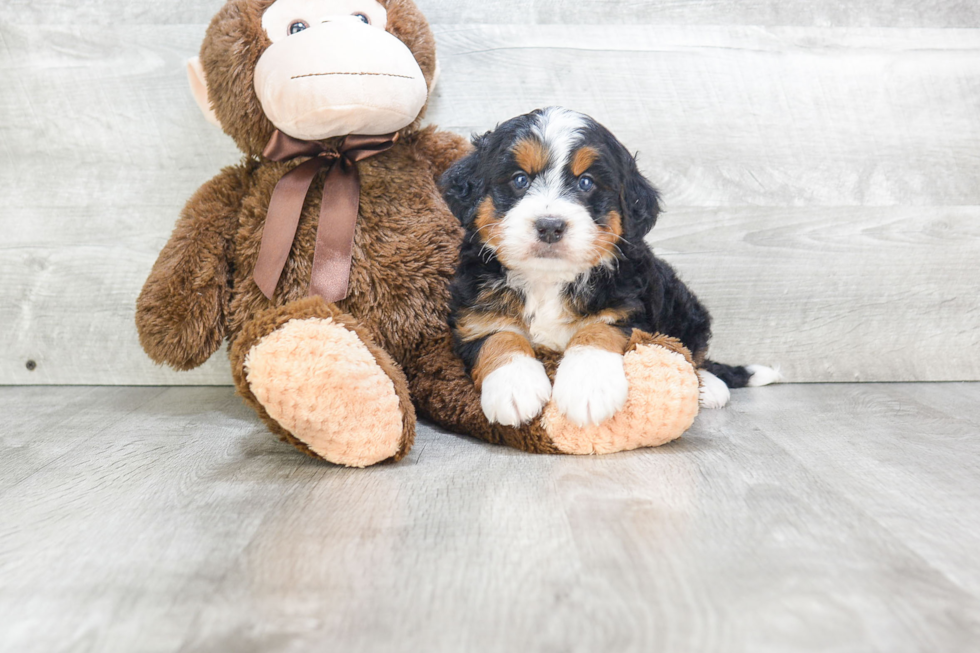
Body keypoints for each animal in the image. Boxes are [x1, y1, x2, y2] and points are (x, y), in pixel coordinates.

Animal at [440, 108, 776, 428]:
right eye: (520, 179)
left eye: (586, 182)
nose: (550, 226)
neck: (548, 280)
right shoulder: (474, 313)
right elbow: (498, 335)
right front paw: (514, 387)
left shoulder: (628, 307)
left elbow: (597, 330)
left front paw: (588, 388)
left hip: (684, 307)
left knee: (692, 350)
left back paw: (711, 385)